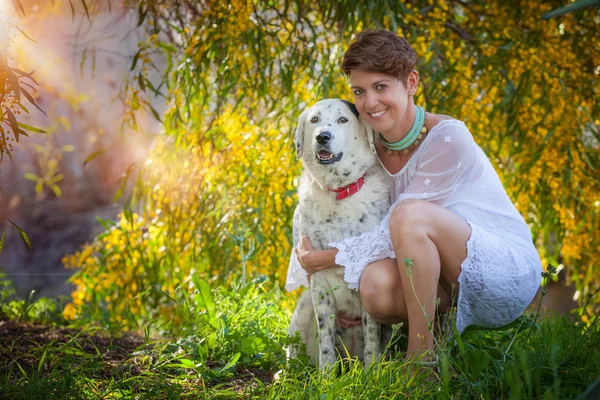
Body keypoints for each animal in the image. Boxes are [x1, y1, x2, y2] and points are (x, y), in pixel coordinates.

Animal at [288, 98, 392, 370]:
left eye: (343, 120)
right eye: (314, 119)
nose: (322, 136)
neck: (337, 193)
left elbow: (371, 335)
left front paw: (372, 373)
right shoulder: (319, 285)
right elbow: (325, 338)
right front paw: (326, 377)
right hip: (304, 305)